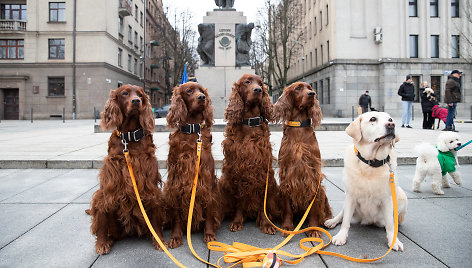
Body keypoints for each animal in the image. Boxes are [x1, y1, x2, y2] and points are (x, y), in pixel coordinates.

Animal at [89, 85, 165, 254]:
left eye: (141, 95)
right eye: (124, 93)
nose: (136, 101)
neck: (130, 138)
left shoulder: (151, 186)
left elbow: (155, 219)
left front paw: (159, 241)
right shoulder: (110, 183)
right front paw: (101, 243)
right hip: (100, 198)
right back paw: (104, 241)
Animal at [164, 82, 221, 249]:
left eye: (202, 91)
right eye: (189, 91)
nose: (202, 97)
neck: (191, 130)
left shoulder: (207, 180)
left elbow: (209, 212)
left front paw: (209, 235)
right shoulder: (176, 181)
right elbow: (176, 215)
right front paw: (176, 237)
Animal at [218, 73, 280, 234]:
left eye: (261, 83)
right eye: (247, 82)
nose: (258, 90)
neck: (249, 122)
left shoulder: (262, 169)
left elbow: (263, 201)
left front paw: (266, 224)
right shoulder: (237, 168)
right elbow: (240, 200)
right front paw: (237, 221)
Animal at [272, 81, 332, 237]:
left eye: (310, 88)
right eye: (298, 88)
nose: (312, 94)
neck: (299, 126)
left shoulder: (313, 173)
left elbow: (314, 208)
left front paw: (313, 229)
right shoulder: (286, 174)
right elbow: (287, 207)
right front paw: (287, 227)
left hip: (322, 190)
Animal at [322, 112, 408, 251]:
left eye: (390, 119)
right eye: (373, 119)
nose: (391, 125)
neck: (370, 164)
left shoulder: (387, 199)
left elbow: (390, 224)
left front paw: (394, 241)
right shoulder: (351, 196)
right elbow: (345, 221)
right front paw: (341, 236)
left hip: (402, 197)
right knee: (342, 214)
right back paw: (332, 221)